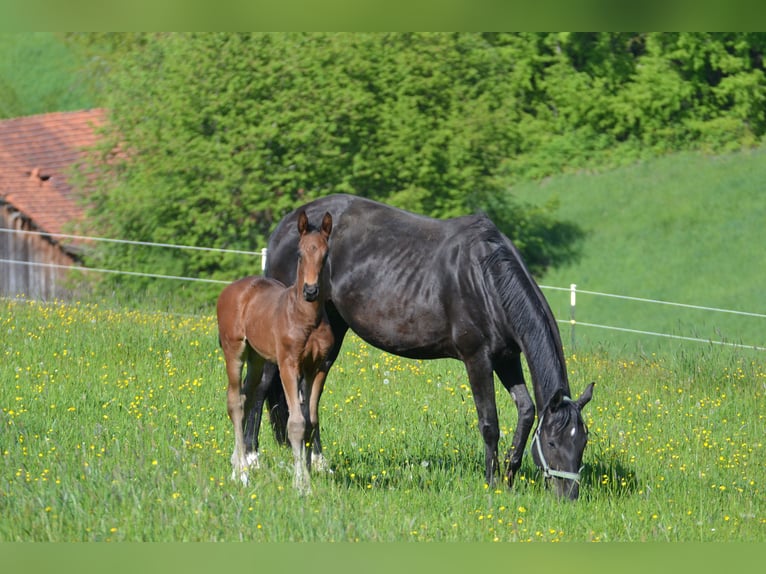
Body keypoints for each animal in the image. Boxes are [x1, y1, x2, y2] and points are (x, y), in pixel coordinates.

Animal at [216, 210, 334, 494]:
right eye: (300, 253)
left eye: (325, 254)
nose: (311, 290)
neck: (306, 317)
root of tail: (233, 289)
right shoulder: (288, 364)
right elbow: (296, 423)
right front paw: (300, 484)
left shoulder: (318, 367)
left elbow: (311, 421)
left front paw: (308, 476)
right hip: (234, 350)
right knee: (234, 402)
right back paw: (241, 474)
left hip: (257, 359)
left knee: (246, 398)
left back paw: (238, 464)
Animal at [257, 194, 594, 500]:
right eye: (552, 443)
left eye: (583, 442)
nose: (569, 496)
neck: (486, 278)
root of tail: (284, 227)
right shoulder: (477, 359)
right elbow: (489, 423)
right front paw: (491, 483)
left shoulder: (507, 358)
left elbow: (526, 411)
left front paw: (509, 477)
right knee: (261, 387)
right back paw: (254, 459)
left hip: (330, 333)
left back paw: (317, 463)